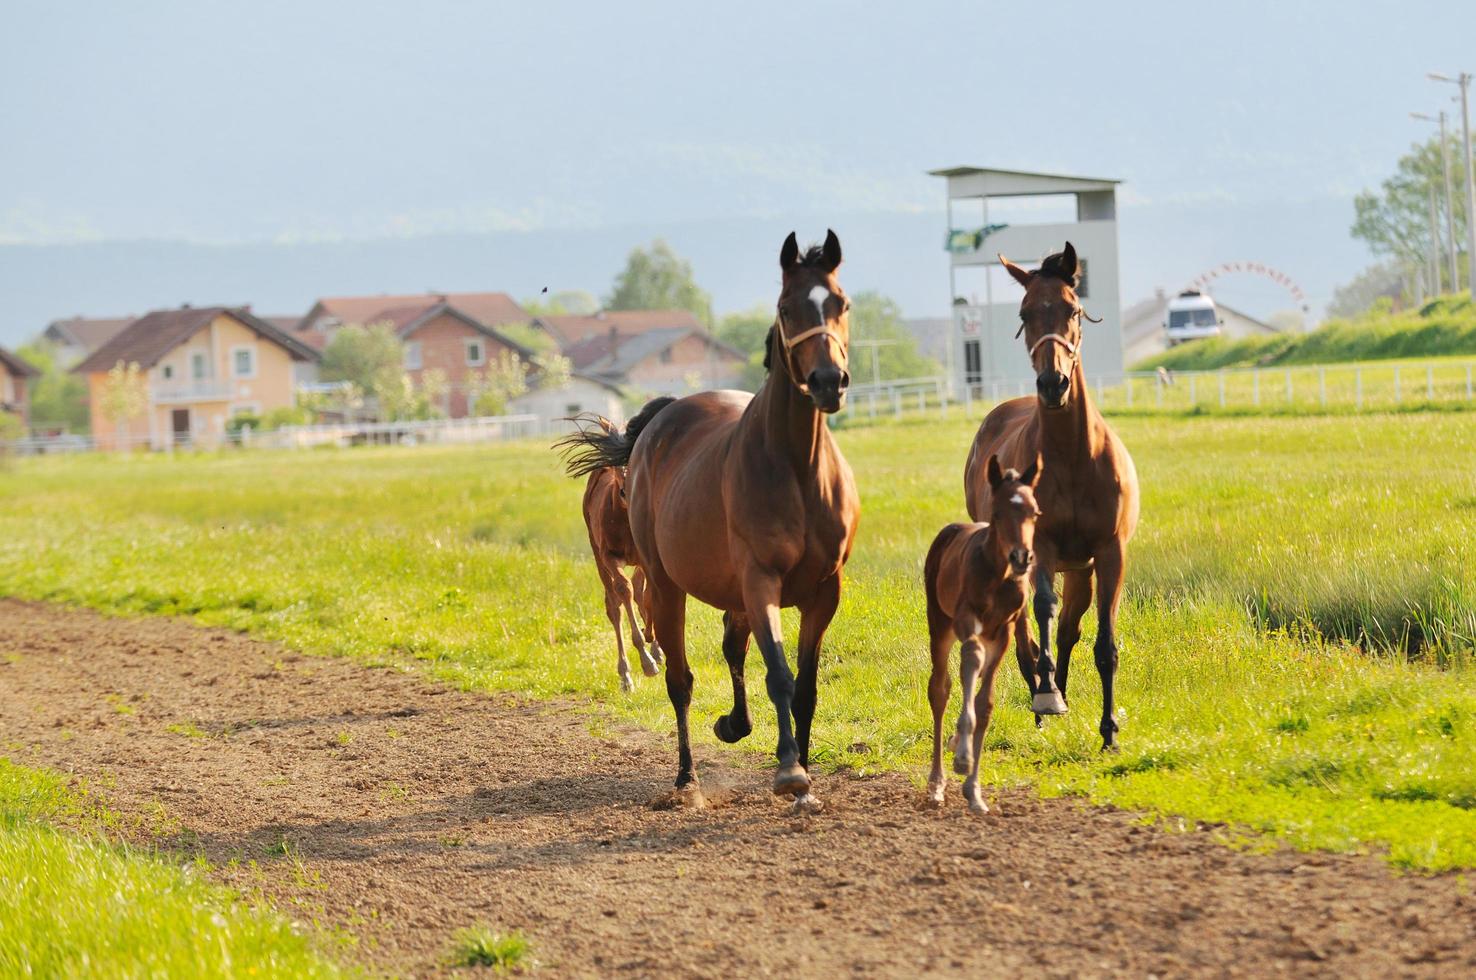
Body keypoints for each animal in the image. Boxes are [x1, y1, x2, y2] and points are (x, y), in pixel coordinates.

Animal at [578, 457, 667, 687]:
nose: (626, 491)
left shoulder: (646, 555)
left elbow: (646, 594)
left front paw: (654, 645)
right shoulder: (609, 555)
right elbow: (623, 589)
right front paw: (646, 662)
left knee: (638, 589)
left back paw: (656, 649)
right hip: (596, 551)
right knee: (613, 603)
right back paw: (625, 673)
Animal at [921, 454, 1039, 814]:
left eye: (1035, 512)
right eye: (998, 512)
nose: (1022, 556)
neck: (998, 575)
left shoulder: (1005, 630)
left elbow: (985, 702)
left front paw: (973, 790)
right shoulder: (965, 618)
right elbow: (970, 661)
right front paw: (961, 758)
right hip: (940, 622)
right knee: (940, 689)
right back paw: (936, 783)